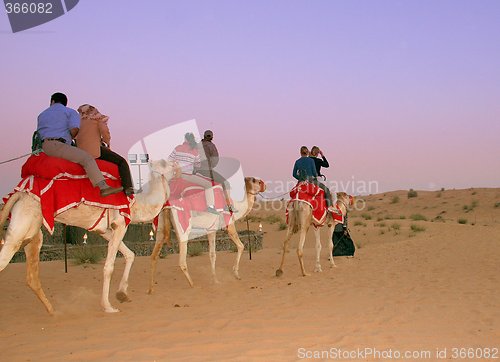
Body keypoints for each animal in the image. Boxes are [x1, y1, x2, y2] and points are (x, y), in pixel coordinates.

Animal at [0, 159, 176, 314]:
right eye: (165, 163)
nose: (176, 165)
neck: (137, 205)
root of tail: (19, 194)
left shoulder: (104, 230)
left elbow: (130, 254)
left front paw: (122, 294)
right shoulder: (120, 223)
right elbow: (109, 267)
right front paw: (108, 306)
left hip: (32, 231)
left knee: (31, 275)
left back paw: (52, 311)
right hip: (23, 222)